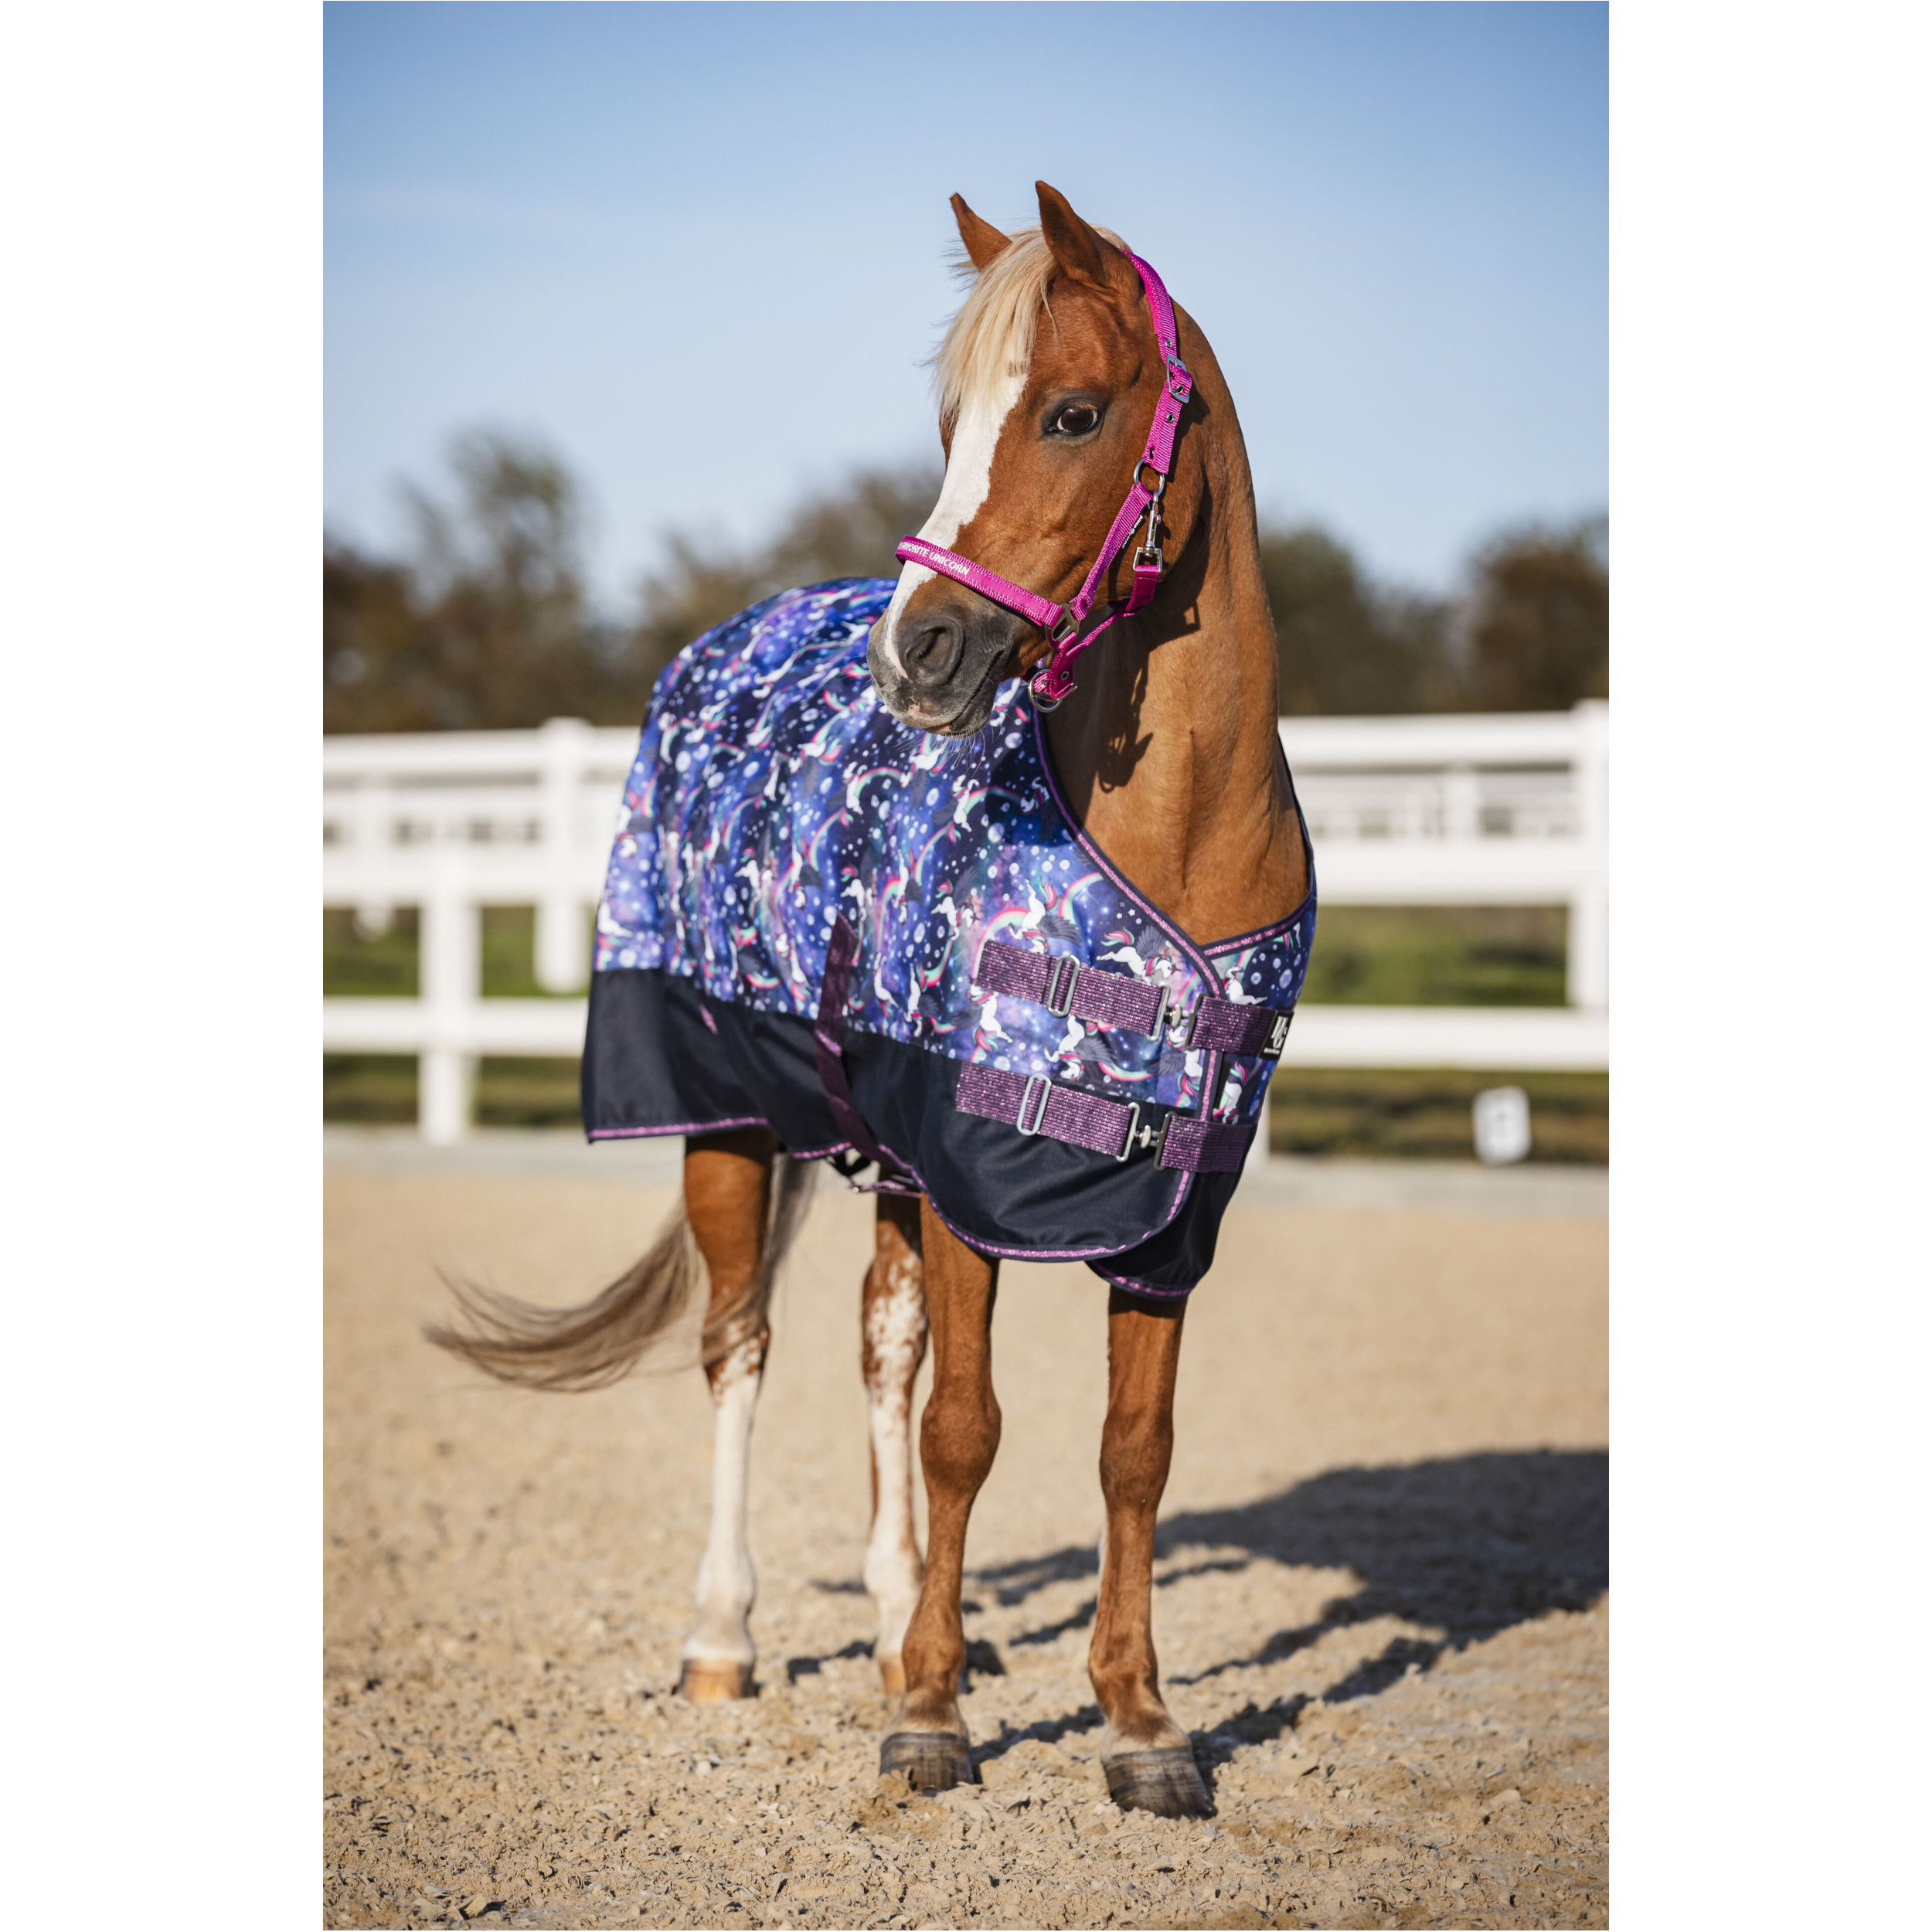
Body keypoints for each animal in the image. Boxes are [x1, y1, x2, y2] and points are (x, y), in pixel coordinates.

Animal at [429, 181, 1313, 1820]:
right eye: (951, 418)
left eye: (1073, 413)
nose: (921, 652)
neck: (1173, 850)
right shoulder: (972, 1170)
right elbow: (969, 1429)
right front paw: (928, 1719)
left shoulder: (1169, 1212)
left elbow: (1132, 1448)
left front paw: (1139, 1722)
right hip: (720, 1118)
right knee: (742, 1348)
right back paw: (728, 1639)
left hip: (880, 1152)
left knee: (877, 1348)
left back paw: (907, 1609)